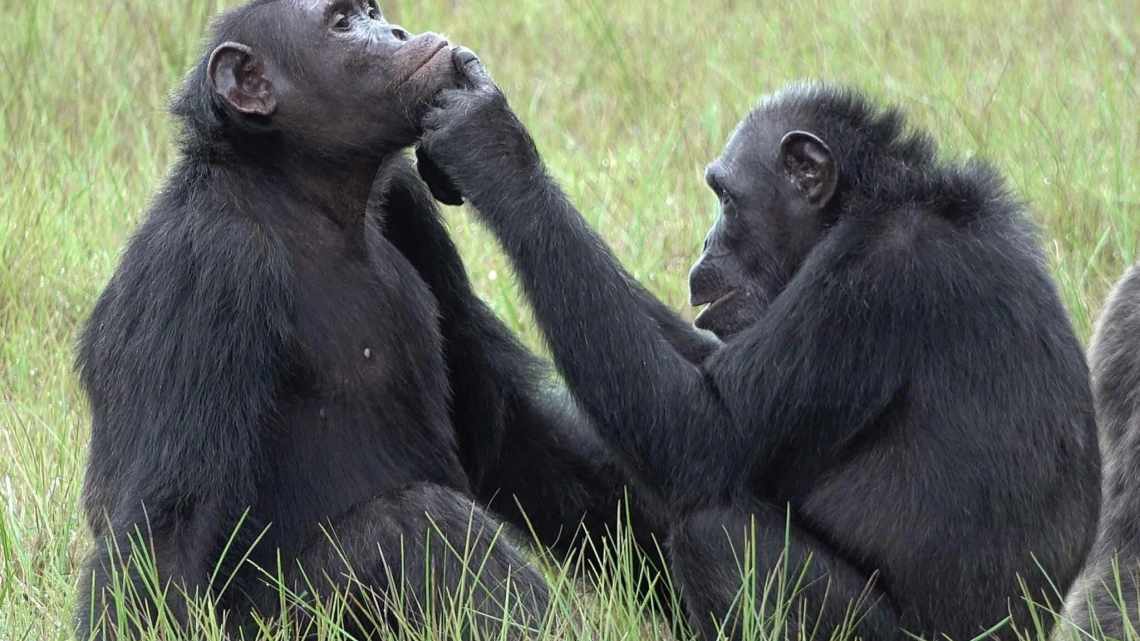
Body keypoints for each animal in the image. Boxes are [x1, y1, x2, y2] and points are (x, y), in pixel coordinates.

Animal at [75, 2, 665, 634]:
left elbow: (505, 430)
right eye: (342, 24)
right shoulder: (204, 267)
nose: (396, 32)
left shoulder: (409, 203)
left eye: (370, 12)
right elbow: (169, 527)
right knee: (415, 523)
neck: (301, 193)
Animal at [419, 56, 1103, 638]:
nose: (705, 244)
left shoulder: (874, 280)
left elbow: (704, 432)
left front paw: (491, 146)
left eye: (725, 196)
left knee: (714, 533)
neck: (866, 203)